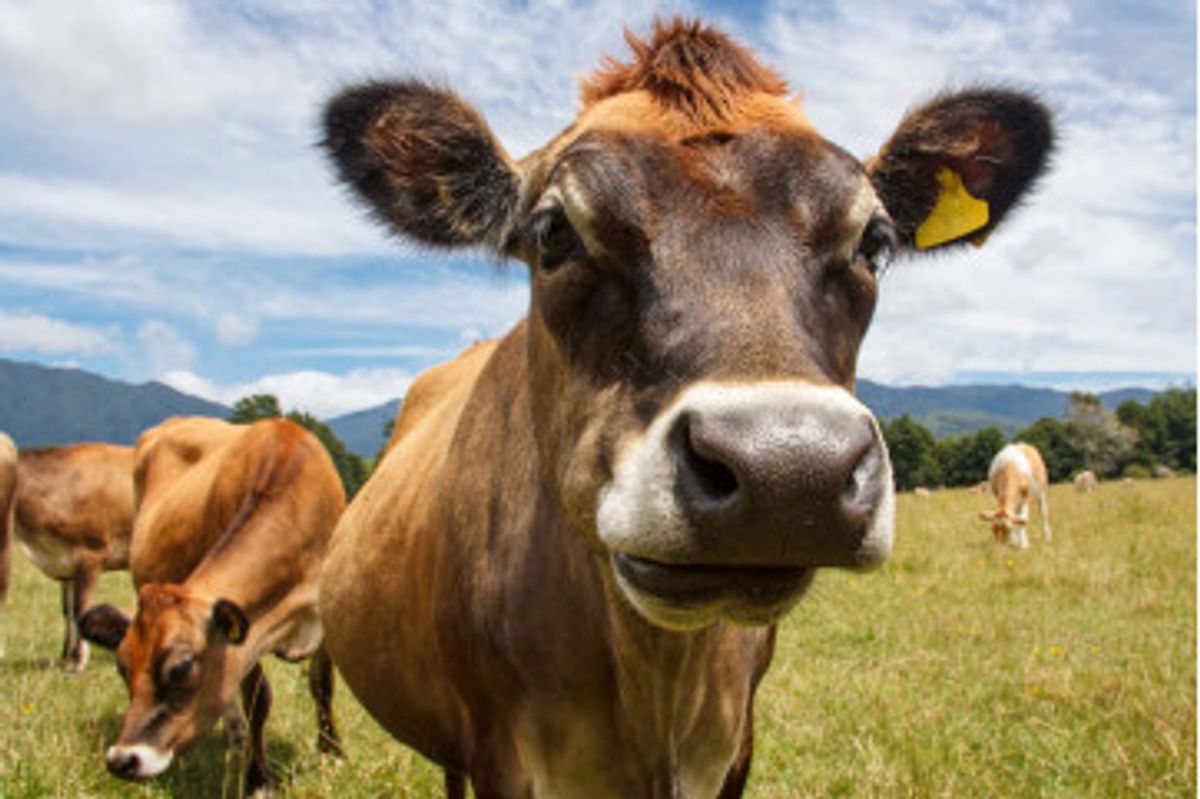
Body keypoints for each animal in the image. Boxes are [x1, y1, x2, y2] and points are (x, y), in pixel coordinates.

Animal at [2, 439, 133, 667]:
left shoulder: (90, 555)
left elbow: (81, 608)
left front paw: (78, 661)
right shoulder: (66, 564)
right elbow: (67, 611)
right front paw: (65, 657)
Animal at [78, 412, 348, 791]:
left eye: (180, 667)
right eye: (121, 667)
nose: (122, 760)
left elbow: (322, 685)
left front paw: (332, 754)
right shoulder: (248, 632)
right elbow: (257, 699)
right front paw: (258, 779)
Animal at [316, 18, 1051, 796]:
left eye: (874, 241)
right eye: (553, 231)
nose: (789, 474)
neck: (654, 692)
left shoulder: (735, 746)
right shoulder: (500, 756)